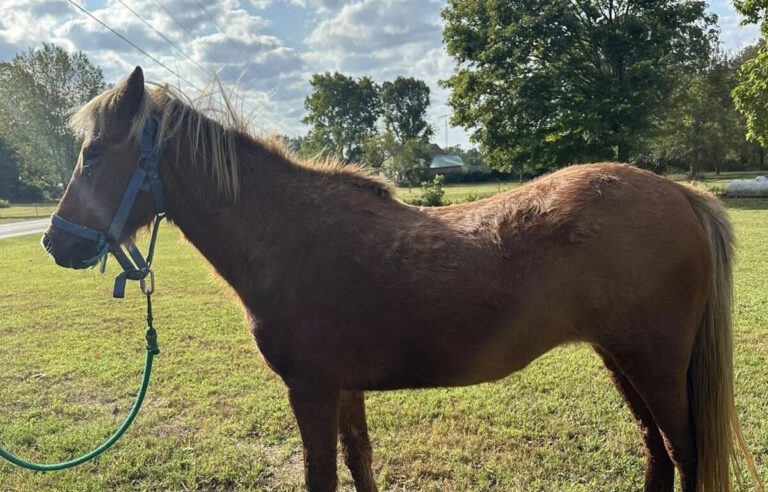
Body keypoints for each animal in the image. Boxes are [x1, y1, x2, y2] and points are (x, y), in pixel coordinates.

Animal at [42, 67, 761, 492]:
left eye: (94, 154)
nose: (55, 242)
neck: (291, 233)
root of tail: (678, 193)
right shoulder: (343, 389)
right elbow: (359, 462)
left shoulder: (311, 389)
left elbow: (324, 476)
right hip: (622, 359)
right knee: (657, 452)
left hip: (653, 363)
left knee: (685, 453)